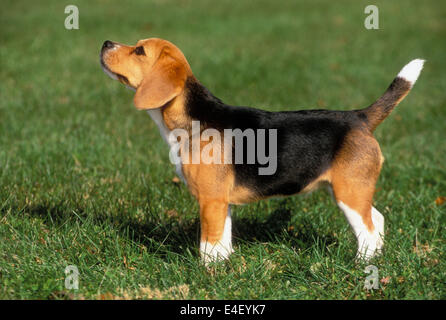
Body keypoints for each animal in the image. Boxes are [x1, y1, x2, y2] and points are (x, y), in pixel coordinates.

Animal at [99, 37, 424, 262]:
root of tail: (360, 117)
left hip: (350, 191)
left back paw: (361, 265)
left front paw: (207, 273)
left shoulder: (211, 200)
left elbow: (208, 242)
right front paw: (225, 266)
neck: (193, 118)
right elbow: (223, 240)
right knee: (377, 220)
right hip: (350, 189)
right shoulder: (222, 201)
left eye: (139, 51)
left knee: (367, 230)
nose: (105, 43)